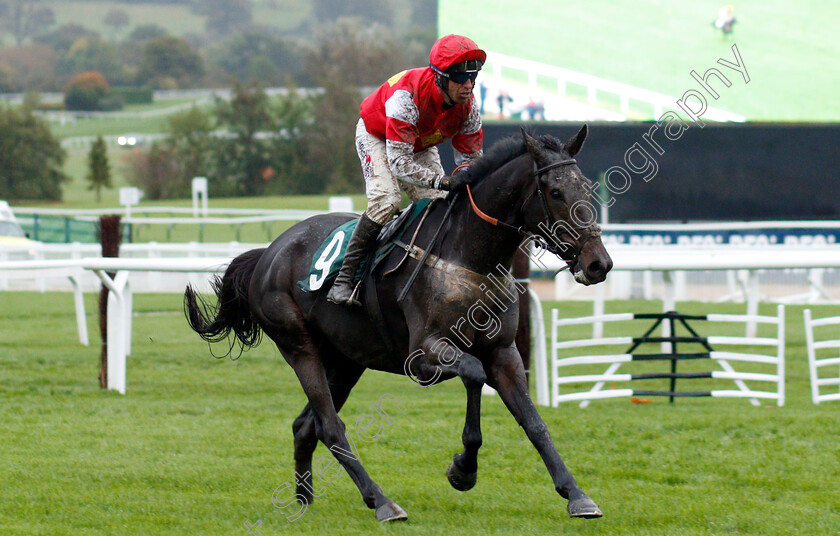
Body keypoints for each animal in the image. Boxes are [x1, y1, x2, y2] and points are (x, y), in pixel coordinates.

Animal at [187, 124, 612, 520]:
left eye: (587, 188)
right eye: (554, 192)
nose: (599, 264)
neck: (468, 257)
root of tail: (268, 252)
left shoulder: (504, 353)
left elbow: (534, 422)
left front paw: (576, 495)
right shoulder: (423, 357)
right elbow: (474, 374)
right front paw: (463, 470)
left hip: (345, 360)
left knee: (305, 425)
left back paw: (305, 502)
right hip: (299, 346)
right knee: (330, 426)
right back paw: (381, 502)